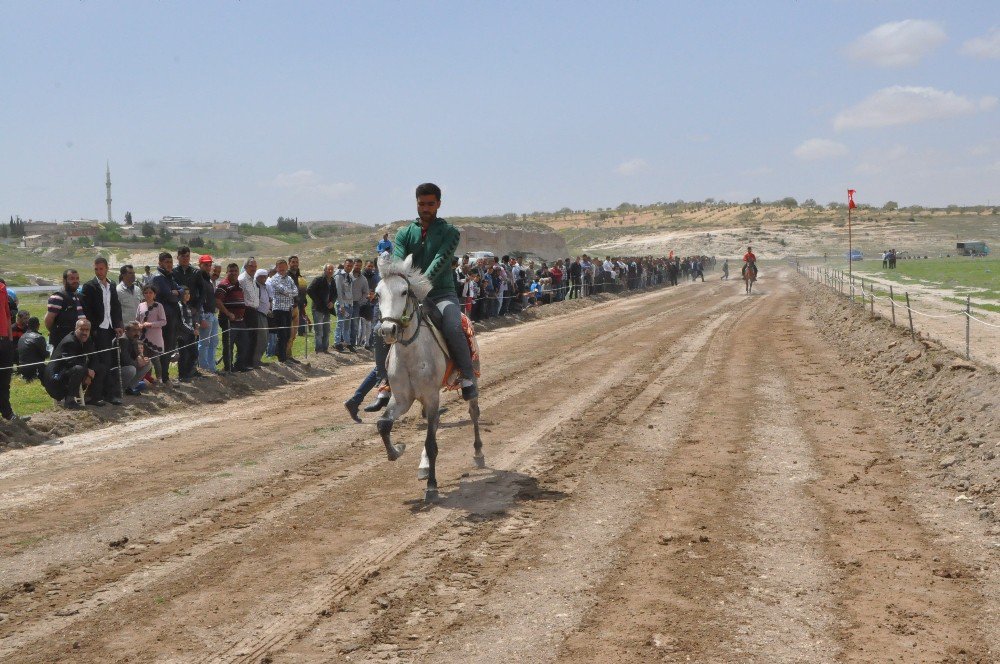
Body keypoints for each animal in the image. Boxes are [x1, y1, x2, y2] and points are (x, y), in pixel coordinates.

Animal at [376, 256, 484, 500]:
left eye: (404, 291)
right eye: (377, 294)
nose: (388, 330)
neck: (410, 353)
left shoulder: (431, 396)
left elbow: (431, 442)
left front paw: (432, 486)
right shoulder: (403, 399)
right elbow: (384, 424)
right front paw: (397, 450)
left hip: (471, 377)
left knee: (473, 412)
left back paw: (478, 453)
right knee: (432, 423)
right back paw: (424, 466)